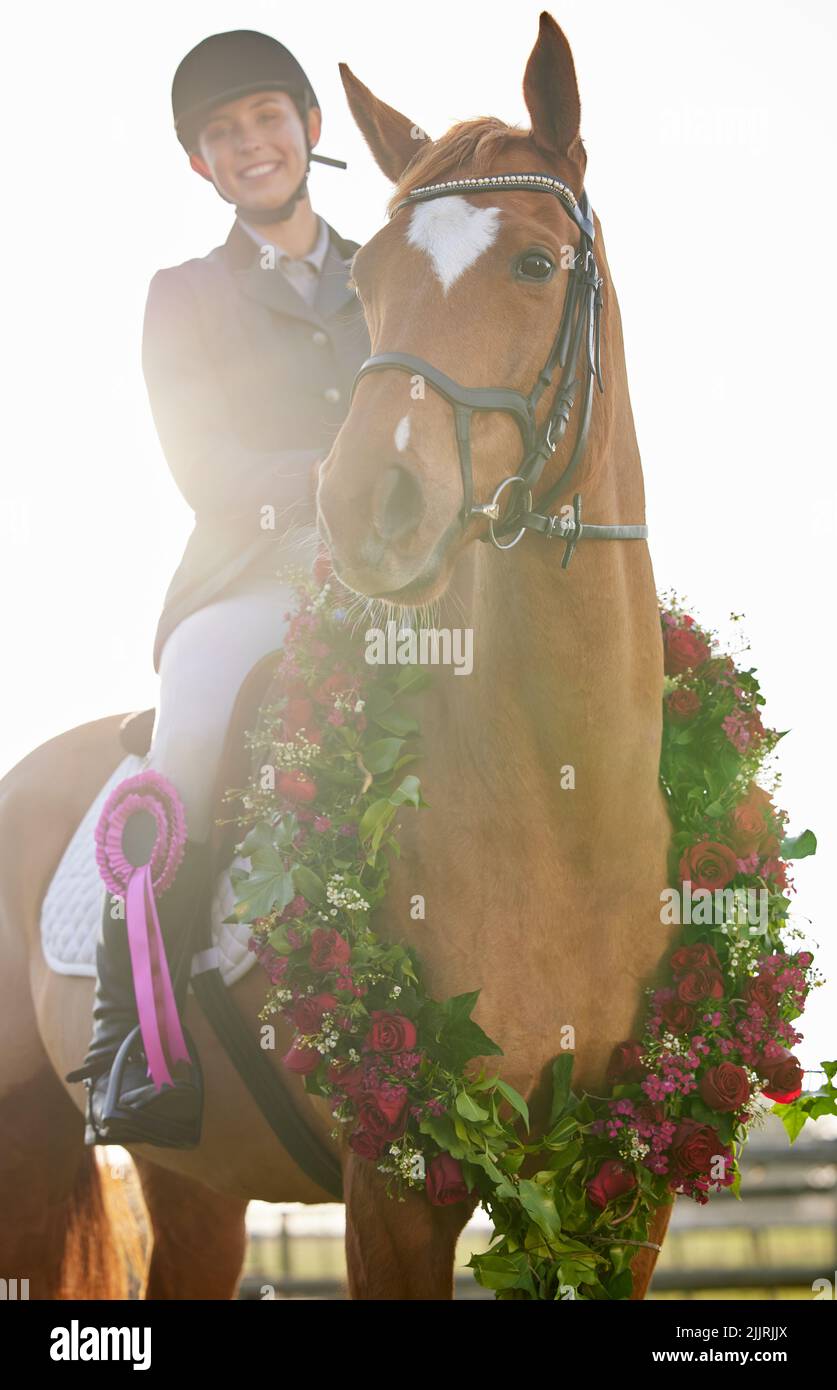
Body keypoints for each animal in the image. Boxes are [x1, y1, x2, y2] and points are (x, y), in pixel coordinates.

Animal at [0, 13, 670, 1301]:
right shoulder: (394, 1188)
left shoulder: (633, 1188)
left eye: (534, 266)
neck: (561, 807)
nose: (368, 508)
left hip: (197, 1180)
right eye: (370, 284)